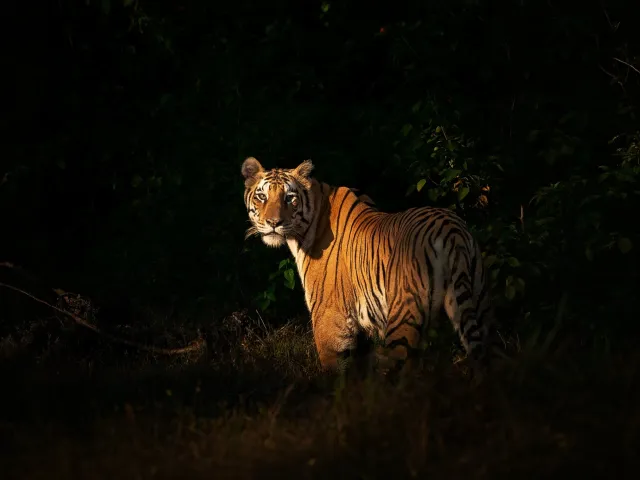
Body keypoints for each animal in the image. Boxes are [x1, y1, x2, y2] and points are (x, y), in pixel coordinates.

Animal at [241, 156, 494, 375]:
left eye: (289, 198)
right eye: (261, 196)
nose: (274, 223)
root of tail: (452, 232)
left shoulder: (330, 322)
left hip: (404, 319)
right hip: (477, 306)